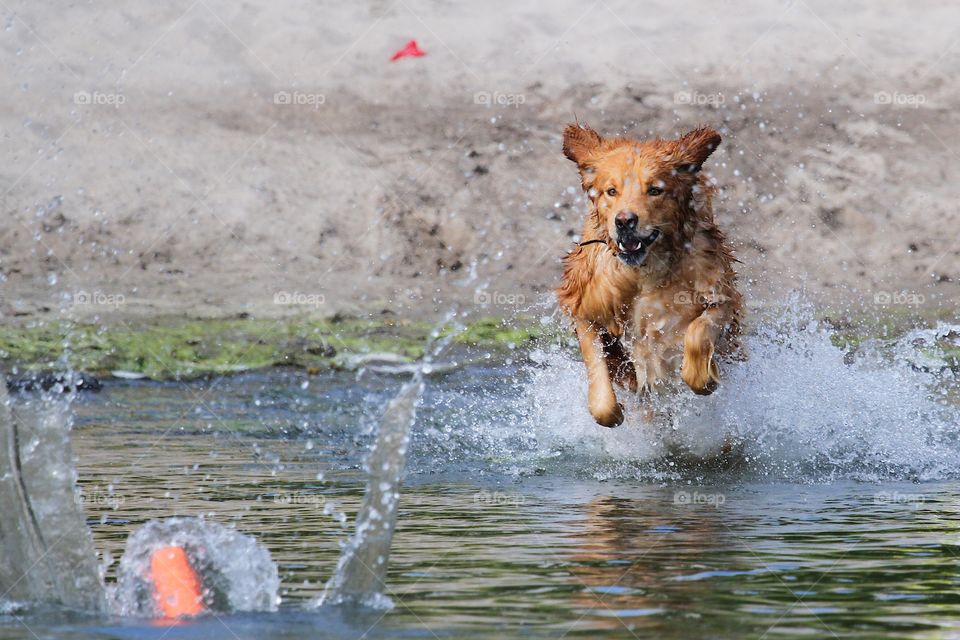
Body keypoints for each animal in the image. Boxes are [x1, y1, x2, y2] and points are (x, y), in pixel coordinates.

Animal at [556, 123, 744, 428]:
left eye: (655, 190)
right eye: (611, 191)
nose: (624, 221)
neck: (642, 272)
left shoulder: (721, 297)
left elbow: (697, 335)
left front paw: (705, 376)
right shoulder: (585, 308)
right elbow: (601, 393)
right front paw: (614, 412)